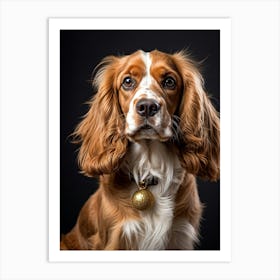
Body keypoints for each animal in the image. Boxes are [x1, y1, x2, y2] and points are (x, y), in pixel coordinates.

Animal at [60, 49, 220, 249]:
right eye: (128, 81)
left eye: (169, 81)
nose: (147, 107)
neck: (149, 169)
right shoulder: (115, 237)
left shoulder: (180, 236)